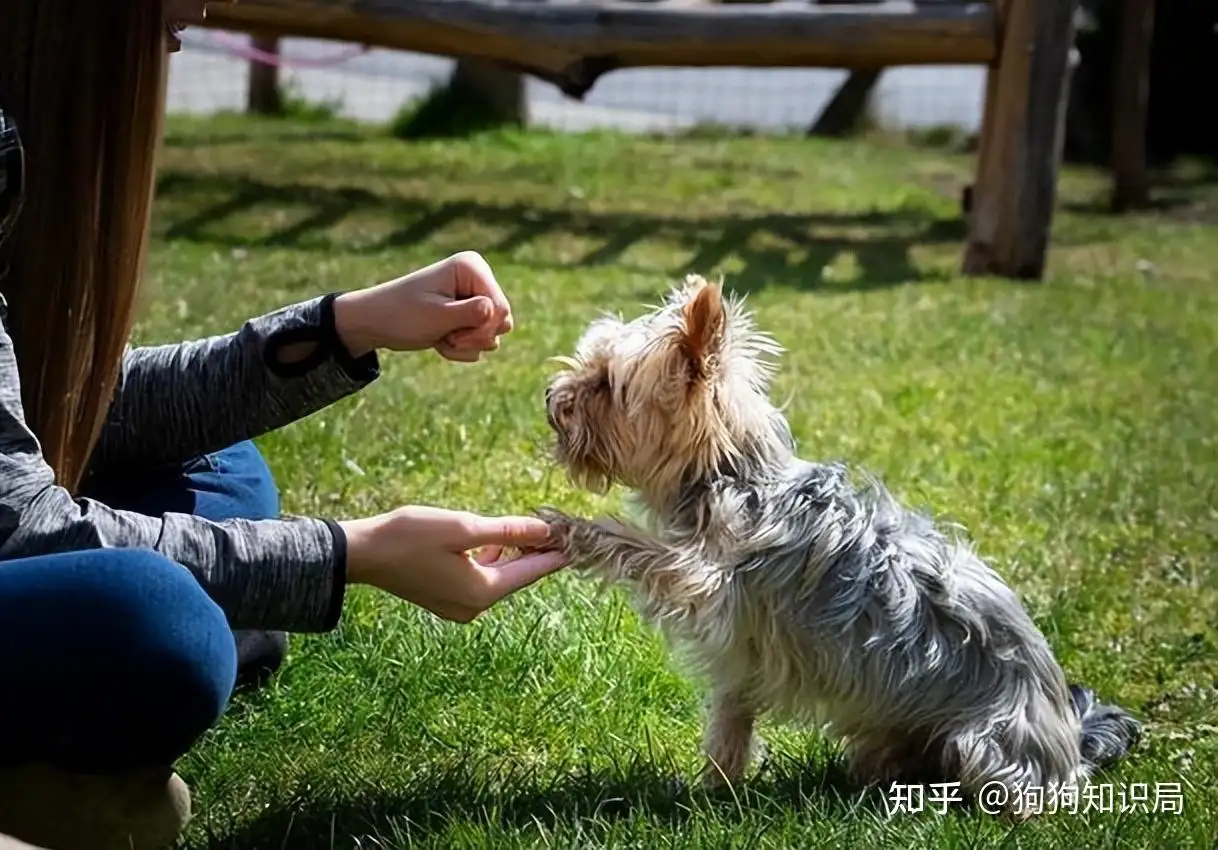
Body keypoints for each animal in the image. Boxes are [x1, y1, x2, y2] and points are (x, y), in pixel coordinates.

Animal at [533, 272, 1140, 813]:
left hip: (987, 742)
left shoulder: (706, 578)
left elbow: (640, 548)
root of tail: (1072, 743)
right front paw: (714, 788)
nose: (548, 397)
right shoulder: (743, 652)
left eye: (604, 383)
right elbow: (731, 718)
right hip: (891, 729)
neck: (732, 474)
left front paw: (571, 528)